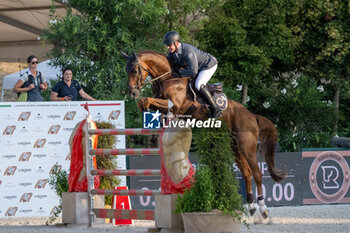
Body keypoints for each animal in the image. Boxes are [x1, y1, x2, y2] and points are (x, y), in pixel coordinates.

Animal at [121, 50, 286, 218]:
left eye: (135, 70)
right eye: (126, 71)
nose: (132, 92)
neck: (169, 78)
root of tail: (252, 116)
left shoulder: (175, 106)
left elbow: (147, 100)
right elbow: (145, 102)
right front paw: (146, 112)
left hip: (248, 147)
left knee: (257, 173)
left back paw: (263, 208)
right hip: (235, 147)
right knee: (246, 173)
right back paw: (251, 207)